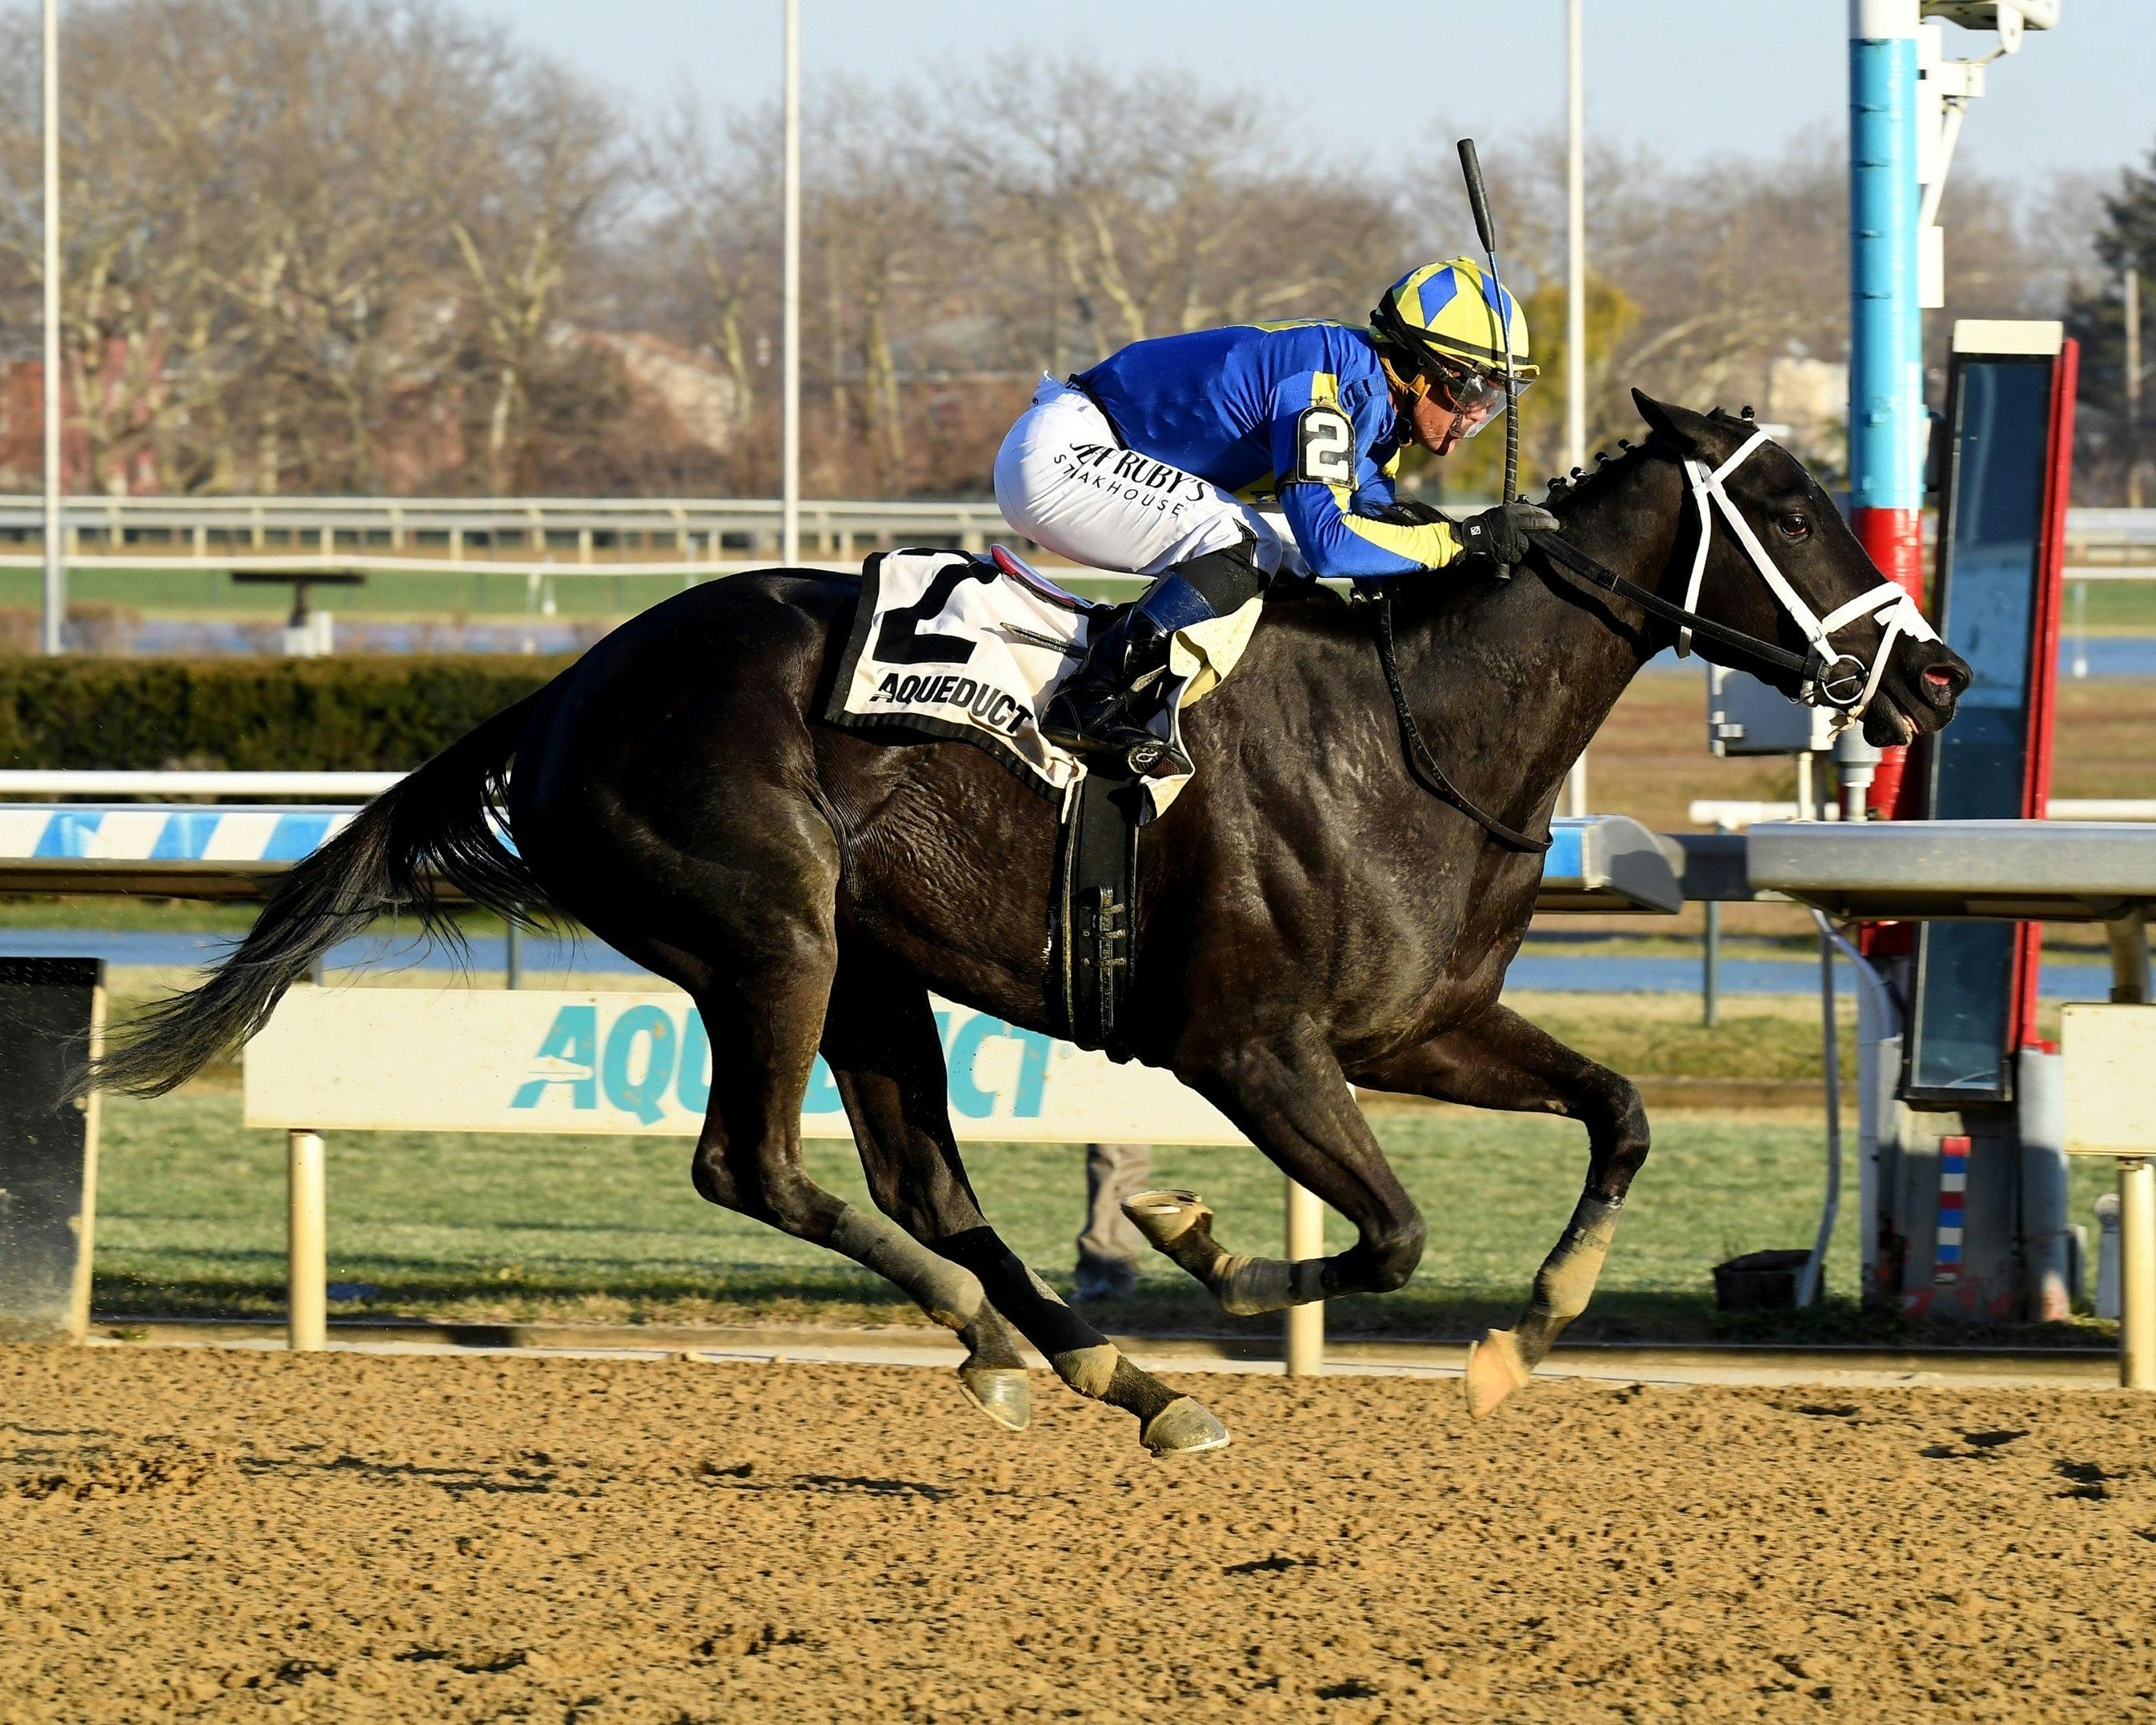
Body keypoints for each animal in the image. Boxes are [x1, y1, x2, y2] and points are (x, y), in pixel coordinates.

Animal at [88, 394, 1974, 1457]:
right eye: (1789, 510)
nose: (1938, 675)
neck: (1414, 728)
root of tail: (560, 693)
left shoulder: (1416, 1024)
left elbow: (1618, 1113)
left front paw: (1531, 1331)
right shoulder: (1247, 1044)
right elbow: (1386, 1236)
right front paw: (1204, 1247)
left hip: (875, 972)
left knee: (921, 1182)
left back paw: (1102, 1375)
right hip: (771, 940)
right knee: (756, 1168)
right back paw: (1020, 1337)